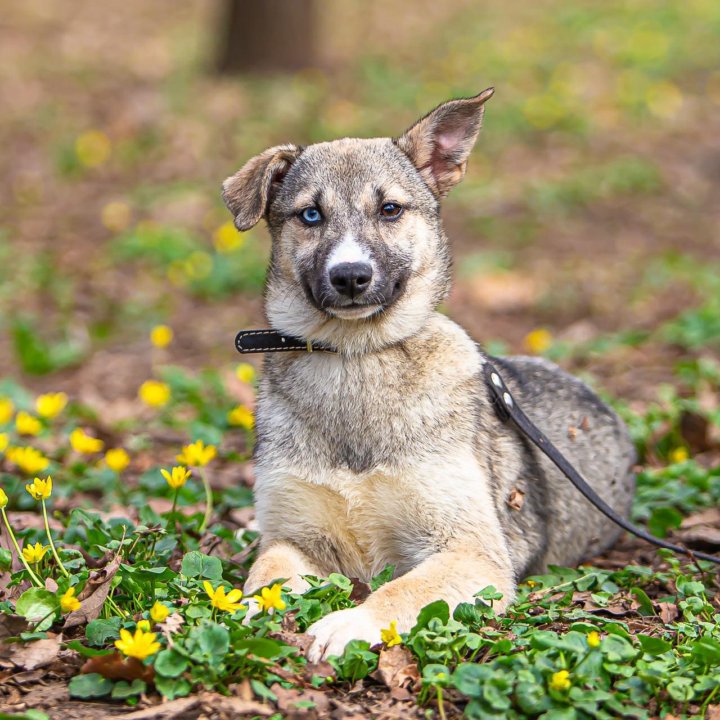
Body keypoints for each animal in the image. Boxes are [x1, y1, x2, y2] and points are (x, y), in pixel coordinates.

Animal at [221, 91, 636, 664]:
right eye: (310, 214)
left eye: (390, 209)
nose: (350, 277)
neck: (356, 358)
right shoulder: (293, 537)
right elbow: (267, 574)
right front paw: (252, 613)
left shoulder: (470, 551)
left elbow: (402, 589)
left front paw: (350, 623)